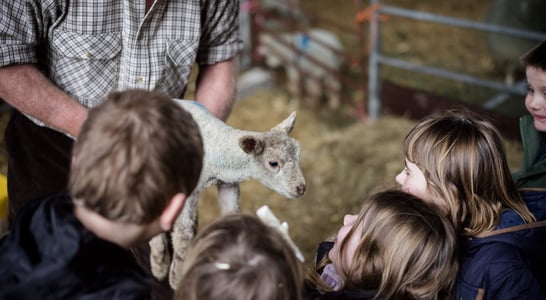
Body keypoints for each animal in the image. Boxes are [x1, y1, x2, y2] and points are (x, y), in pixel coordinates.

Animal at [148, 100, 306, 288]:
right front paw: (177, 278)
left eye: (299, 155)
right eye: (273, 163)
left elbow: (232, 214)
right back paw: (159, 262)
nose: (301, 188)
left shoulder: (228, 184)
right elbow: (184, 233)